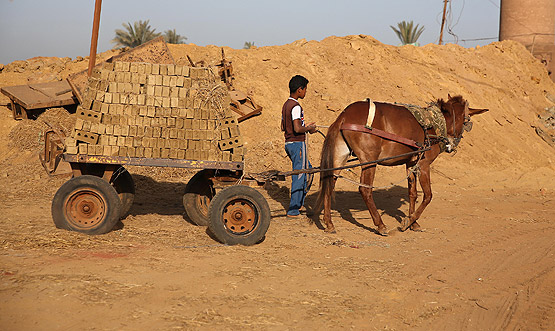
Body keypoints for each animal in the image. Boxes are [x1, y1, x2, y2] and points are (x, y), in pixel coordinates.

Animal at [314, 95, 488, 236]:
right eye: (466, 121)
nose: (452, 145)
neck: (434, 125)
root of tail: (343, 116)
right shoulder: (424, 165)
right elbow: (428, 195)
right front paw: (408, 222)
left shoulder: (411, 164)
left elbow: (413, 194)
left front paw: (413, 222)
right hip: (369, 161)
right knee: (365, 190)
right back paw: (380, 225)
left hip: (339, 158)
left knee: (329, 183)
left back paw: (329, 223)